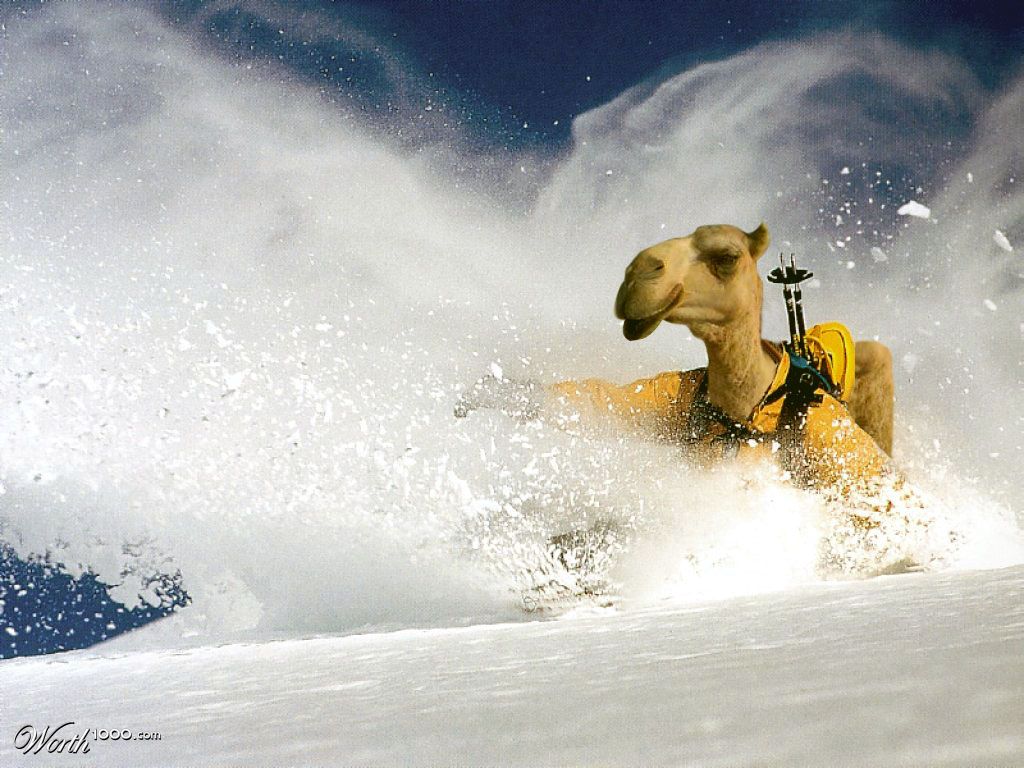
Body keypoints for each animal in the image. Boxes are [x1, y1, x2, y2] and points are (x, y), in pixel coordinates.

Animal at [456, 223, 896, 491]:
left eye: (726, 257)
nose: (636, 274)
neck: (746, 413)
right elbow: (604, 402)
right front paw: (489, 392)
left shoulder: (830, 430)